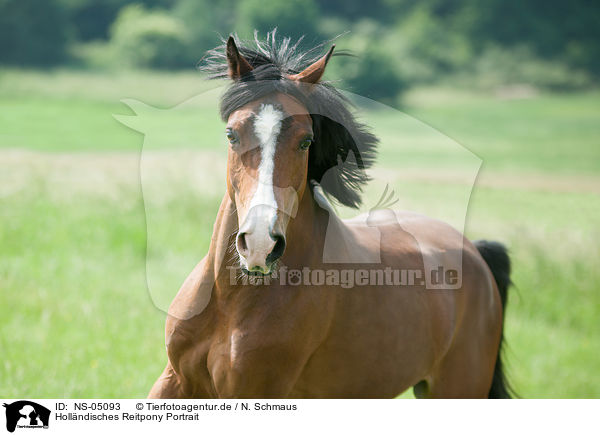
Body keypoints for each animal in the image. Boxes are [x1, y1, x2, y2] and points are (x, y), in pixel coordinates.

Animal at [148, 33, 512, 398]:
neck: (231, 302)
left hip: (458, 387)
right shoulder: (175, 381)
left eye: (306, 140)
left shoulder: (253, 393)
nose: (260, 245)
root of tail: (475, 251)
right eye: (231, 134)